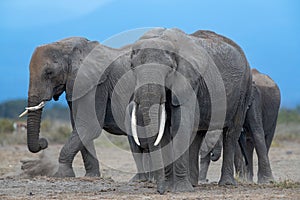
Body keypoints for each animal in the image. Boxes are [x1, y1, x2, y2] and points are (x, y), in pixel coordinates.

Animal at [127, 28, 253, 192]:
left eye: (170, 70)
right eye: (132, 68)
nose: (160, 191)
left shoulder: (189, 81)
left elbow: (181, 125)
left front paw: (180, 190)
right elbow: (165, 132)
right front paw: (170, 187)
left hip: (244, 90)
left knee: (231, 132)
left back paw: (226, 183)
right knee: (198, 134)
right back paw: (193, 183)